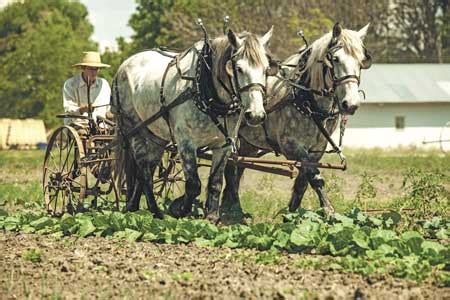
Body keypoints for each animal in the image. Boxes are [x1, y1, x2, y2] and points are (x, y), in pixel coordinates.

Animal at [112, 28, 274, 220]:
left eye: (266, 69)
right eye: (239, 69)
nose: (256, 115)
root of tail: (124, 65)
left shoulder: (223, 146)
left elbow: (215, 183)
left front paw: (211, 218)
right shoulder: (186, 143)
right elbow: (193, 185)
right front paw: (180, 211)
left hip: (156, 136)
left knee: (146, 171)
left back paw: (134, 207)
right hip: (133, 129)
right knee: (144, 172)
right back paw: (156, 212)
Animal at [221, 22, 372, 218]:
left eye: (361, 62)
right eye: (336, 59)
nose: (351, 104)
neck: (307, 100)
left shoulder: (316, 150)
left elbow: (303, 183)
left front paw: (291, 216)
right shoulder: (291, 146)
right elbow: (314, 177)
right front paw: (329, 211)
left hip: (249, 144)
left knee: (237, 167)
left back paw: (231, 208)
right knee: (230, 168)